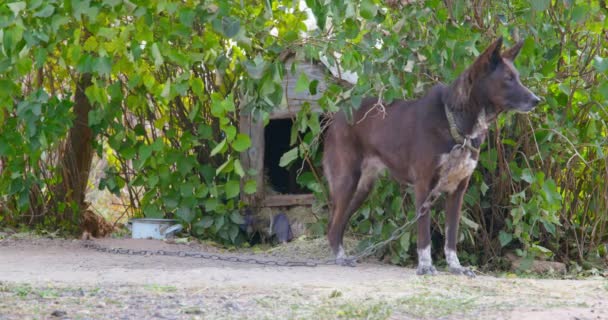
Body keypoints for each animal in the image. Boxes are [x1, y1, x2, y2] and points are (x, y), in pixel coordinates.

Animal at [324, 38, 540, 276]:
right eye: (508, 79)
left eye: (517, 77)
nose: (537, 100)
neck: (457, 124)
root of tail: (337, 116)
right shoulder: (423, 185)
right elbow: (424, 234)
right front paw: (425, 265)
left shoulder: (458, 190)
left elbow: (452, 235)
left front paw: (456, 267)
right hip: (347, 180)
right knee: (333, 226)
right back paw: (340, 258)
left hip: (363, 188)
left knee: (336, 224)